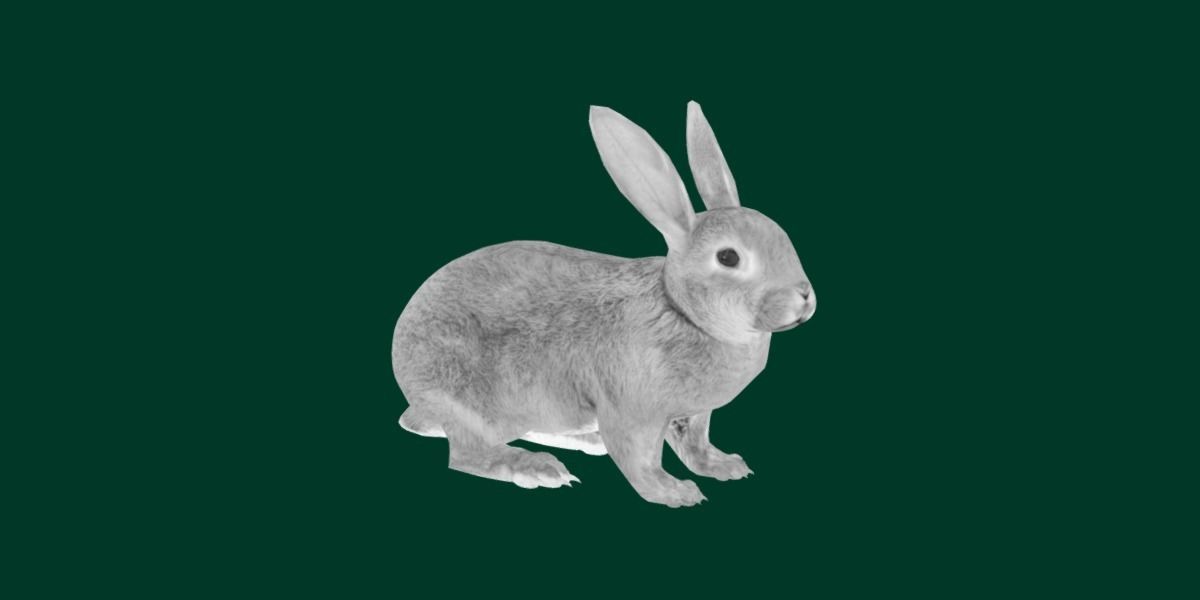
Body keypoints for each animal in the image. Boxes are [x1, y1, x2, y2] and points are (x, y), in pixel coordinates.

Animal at [392, 102, 816, 507]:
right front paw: (674, 493)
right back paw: (536, 468)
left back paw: (586, 443)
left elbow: (695, 443)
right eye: (728, 258)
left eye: (780, 233)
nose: (804, 297)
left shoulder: (694, 413)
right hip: (476, 401)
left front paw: (725, 466)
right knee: (466, 453)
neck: (684, 313)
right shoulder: (631, 410)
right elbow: (639, 459)